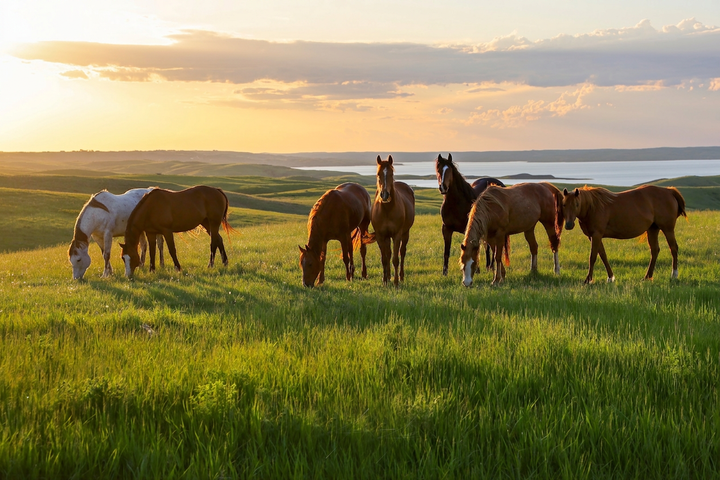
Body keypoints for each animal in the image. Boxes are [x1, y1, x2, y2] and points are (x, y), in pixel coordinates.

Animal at [371, 155, 416, 286]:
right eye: (378, 174)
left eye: (391, 174)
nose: (385, 195)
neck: (386, 210)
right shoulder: (380, 236)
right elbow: (385, 259)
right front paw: (385, 281)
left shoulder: (397, 235)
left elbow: (396, 259)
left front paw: (396, 283)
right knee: (389, 254)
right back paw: (389, 277)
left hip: (405, 234)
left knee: (402, 252)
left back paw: (401, 277)